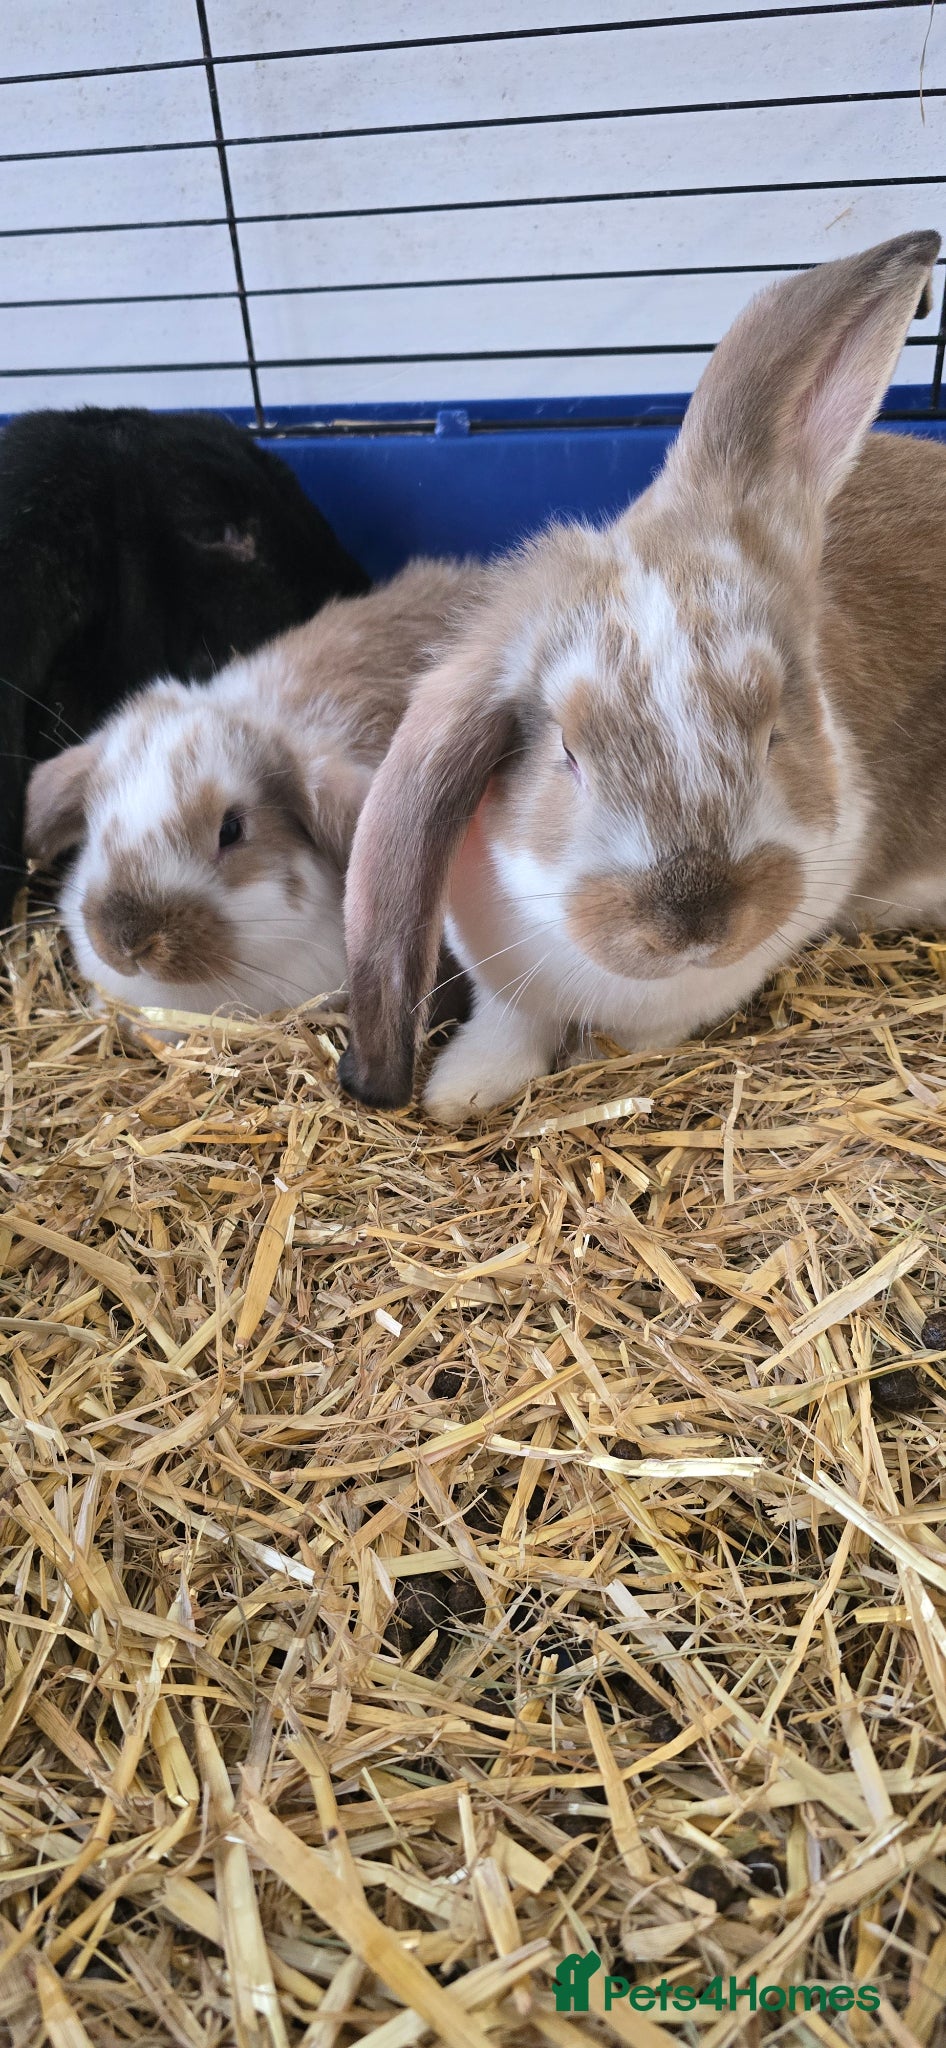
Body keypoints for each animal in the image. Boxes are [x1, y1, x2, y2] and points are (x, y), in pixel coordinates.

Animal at [339, 230, 946, 1124]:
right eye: (568, 755)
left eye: (773, 735)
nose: (694, 925)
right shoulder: (504, 983)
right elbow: (506, 1028)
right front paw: (461, 1093)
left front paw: (588, 1058)